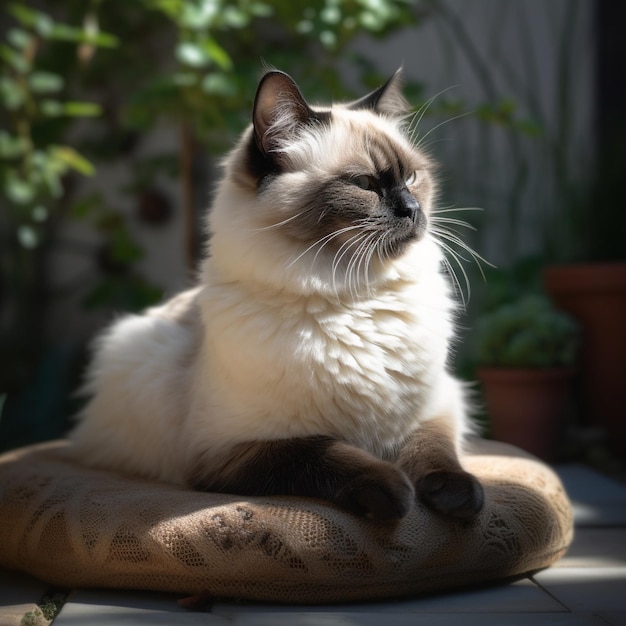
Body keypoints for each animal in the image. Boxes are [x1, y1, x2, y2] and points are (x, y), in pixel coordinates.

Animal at [70, 66, 486, 520]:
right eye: (365, 184)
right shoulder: (229, 452)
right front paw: (392, 492)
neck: (354, 296)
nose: (413, 210)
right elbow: (323, 452)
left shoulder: (439, 403)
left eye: (411, 177)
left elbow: (433, 448)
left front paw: (459, 496)